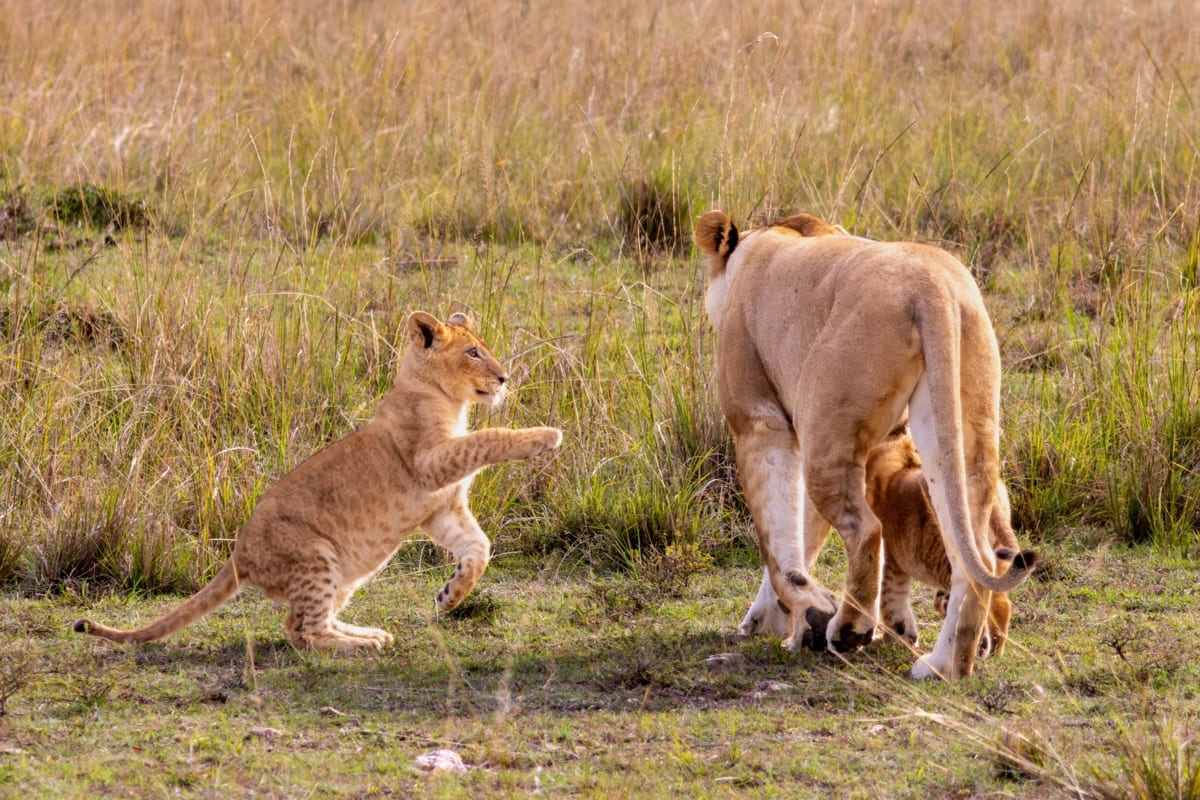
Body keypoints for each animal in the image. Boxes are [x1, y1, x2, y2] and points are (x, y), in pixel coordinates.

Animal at [74, 311, 562, 651]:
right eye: (473, 353)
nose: (504, 378)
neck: (447, 400)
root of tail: (238, 554)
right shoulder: (429, 464)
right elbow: (489, 437)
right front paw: (544, 437)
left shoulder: (442, 508)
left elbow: (479, 549)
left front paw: (450, 596)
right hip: (316, 557)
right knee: (303, 632)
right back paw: (362, 645)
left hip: (344, 572)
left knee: (304, 623)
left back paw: (367, 632)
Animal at [739, 428, 1015, 659]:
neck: (900, 458)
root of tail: (994, 500)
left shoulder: (892, 552)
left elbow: (889, 595)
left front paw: (896, 634)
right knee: (1000, 598)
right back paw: (992, 646)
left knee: (995, 601)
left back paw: (987, 648)